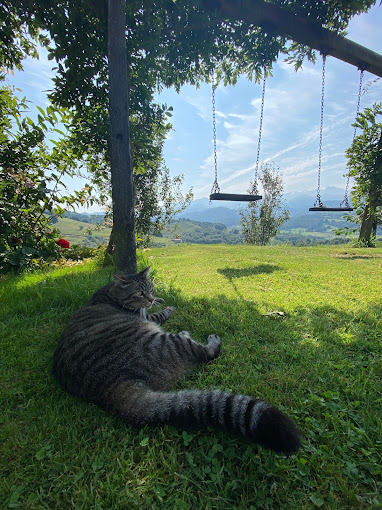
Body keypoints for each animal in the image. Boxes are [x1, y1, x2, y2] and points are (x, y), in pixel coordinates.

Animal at [52, 266, 300, 454]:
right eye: (139, 294)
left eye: (150, 289)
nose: (150, 298)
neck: (110, 293)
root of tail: (108, 388)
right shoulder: (149, 317)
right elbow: (162, 313)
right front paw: (168, 306)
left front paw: (162, 299)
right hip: (164, 341)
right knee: (205, 353)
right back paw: (202, 338)